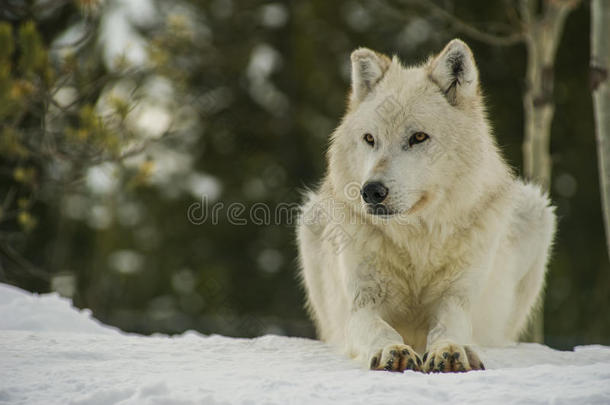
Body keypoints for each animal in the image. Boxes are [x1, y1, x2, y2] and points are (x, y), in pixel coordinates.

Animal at [296, 39, 556, 370]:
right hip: (310, 219)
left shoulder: (456, 299)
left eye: (418, 137)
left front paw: (451, 350)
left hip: (538, 212)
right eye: (370, 139)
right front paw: (391, 350)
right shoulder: (362, 304)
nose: (371, 191)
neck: (417, 241)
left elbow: (449, 327)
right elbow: (378, 329)